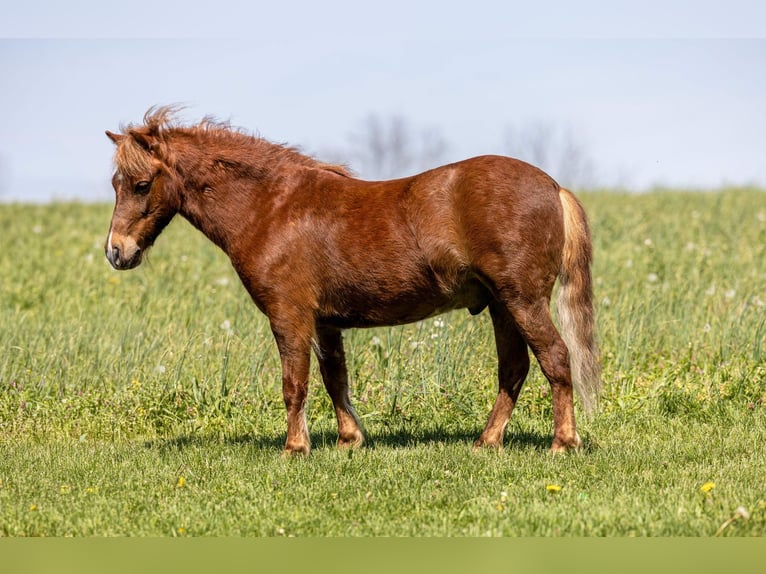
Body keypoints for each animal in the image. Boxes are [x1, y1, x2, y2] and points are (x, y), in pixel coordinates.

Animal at [104, 106, 601, 455]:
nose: (116, 252)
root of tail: (553, 187)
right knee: (514, 369)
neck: (271, 206)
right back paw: (488, 441)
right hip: (501, 305)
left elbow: (295, 382)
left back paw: (563, 442)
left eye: (142, 184)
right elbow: (334, 377)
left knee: (556, 358)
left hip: (522, 300)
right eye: (115, 183)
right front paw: (349, 440)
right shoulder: (326, 321)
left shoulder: (289, 315)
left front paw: (295, 447)